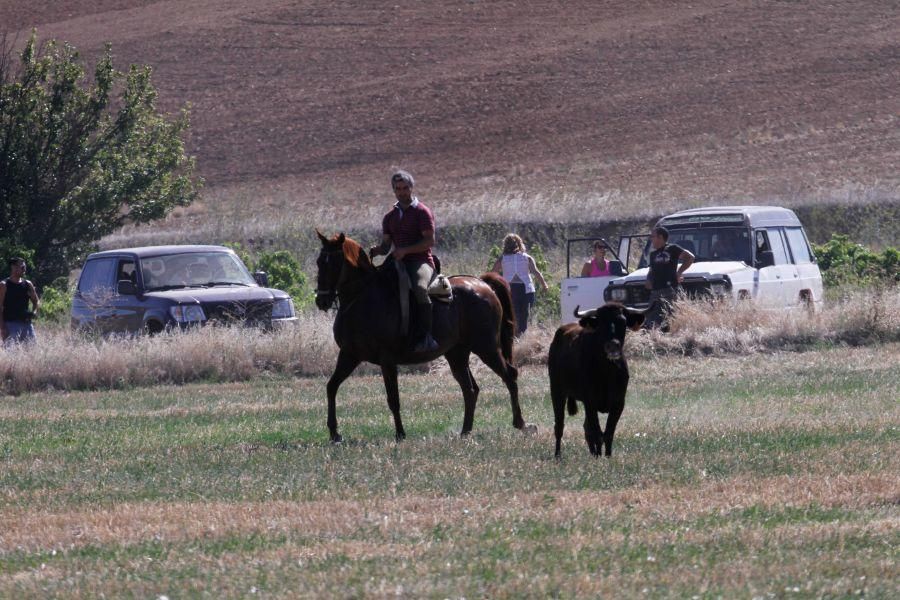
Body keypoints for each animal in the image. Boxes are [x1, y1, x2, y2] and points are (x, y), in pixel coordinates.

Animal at [314, 232, 532, 442]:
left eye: (334, 263)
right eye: (319, 262)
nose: (321, 300)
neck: (362, 298)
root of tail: (483, 284)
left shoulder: (387, 360)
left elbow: (393, 398)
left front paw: (400, 434)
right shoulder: (349, 355)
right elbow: (331, 387)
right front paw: (334, 433)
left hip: (486, 348)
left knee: (509, 375)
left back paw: (521, 423)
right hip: (457, 354)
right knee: (470, 389)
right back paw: (465, 431)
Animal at [548, 302, 648, 458]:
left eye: (623, 322)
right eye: (601, 323)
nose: (613, 345)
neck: (606, 372)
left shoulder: (618, 403)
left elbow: (608, 433)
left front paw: (607, 456)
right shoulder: (590, 402)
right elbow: (597, 433)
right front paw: (599, 456)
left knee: (586, 428)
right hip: (557, 392)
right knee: (559, 425)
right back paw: (558, 455)